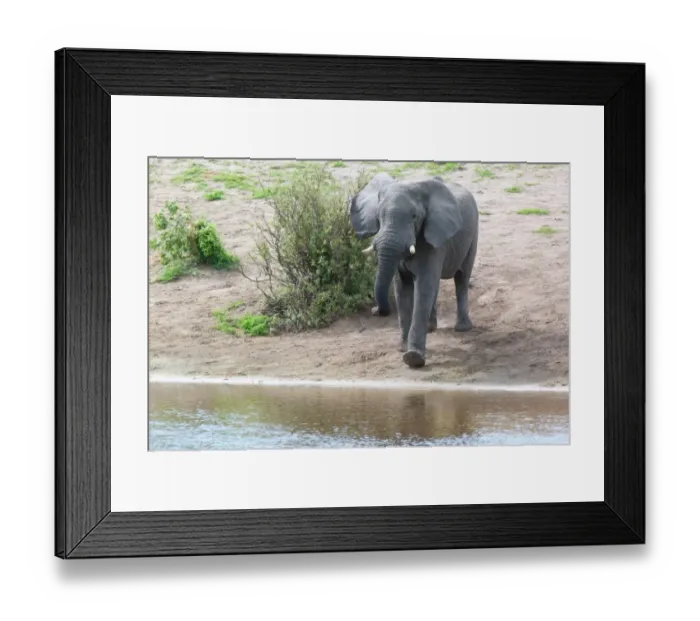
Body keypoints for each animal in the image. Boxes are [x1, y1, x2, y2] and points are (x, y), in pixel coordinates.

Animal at [349, 173, 479, 368]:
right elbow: (402, 288)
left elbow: (423, 286)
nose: (375, 310)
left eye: (414, 216)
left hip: (473, 234)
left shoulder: (432, 237)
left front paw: (413, 358)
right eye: (378, 216)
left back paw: (463, 328)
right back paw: (431, 328)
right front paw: (403, 349)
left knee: (462, 278)